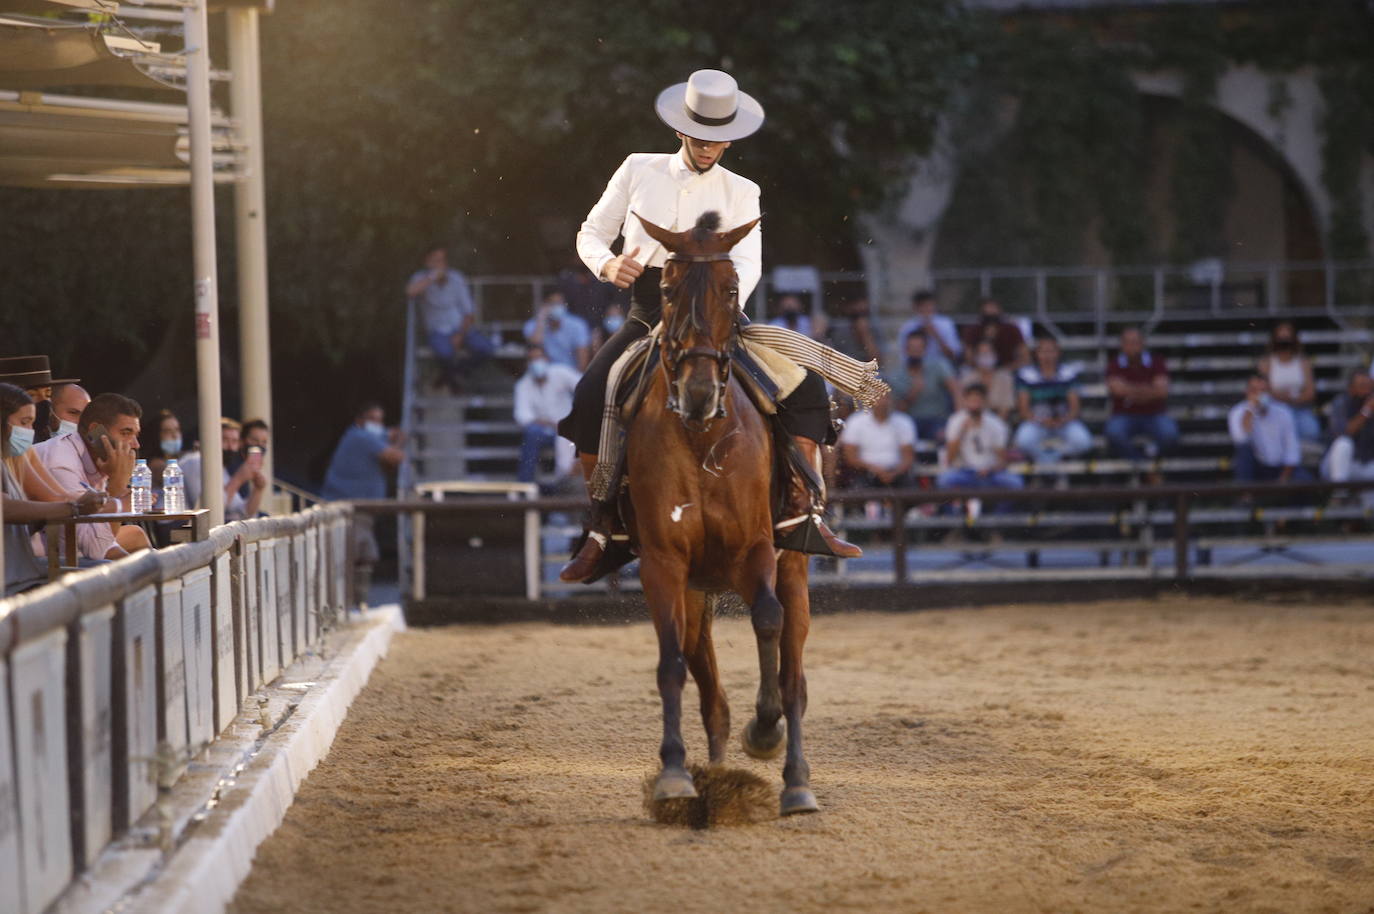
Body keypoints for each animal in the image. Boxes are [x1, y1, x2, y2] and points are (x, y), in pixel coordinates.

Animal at [629, 211, 818, 813]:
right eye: (666, 289)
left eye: (732, 289)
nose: (697, 392)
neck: (701, 437)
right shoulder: (664, 563)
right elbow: (671, 664)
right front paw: (673, 774)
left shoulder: (755, 549)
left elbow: (768, 622)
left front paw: (766, 732)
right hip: (696, 587)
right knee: (706, 683)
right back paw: (711, 772)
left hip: (792, 566)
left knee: (794, 675)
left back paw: (796, 781)